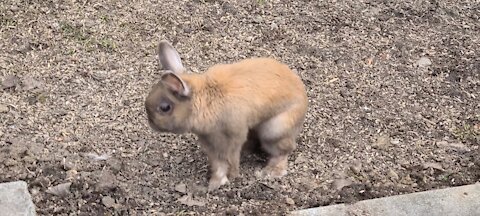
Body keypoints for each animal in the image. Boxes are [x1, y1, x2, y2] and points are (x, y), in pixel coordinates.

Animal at [145, 40, 308, 191]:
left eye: (165, 108)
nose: (151, 123)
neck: (203, 100)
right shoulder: (210, 143)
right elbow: (218, 164)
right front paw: (215, 183)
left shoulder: (233, 138)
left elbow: (231, 159)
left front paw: (231, 177)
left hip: (274, 130)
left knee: (283, 151)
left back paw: (270, 172)